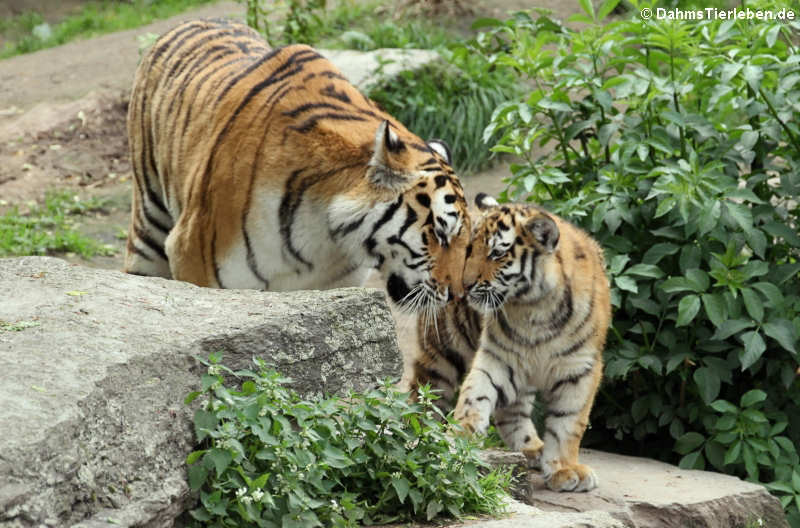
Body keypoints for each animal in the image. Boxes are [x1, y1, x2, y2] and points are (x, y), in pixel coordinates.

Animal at [124, 19, 468, 310]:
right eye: (439, 233)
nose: (457, 295)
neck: (324, 237)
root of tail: (189, 22)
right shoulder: (194, 262)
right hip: (149, 228)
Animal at [404, 193, 608, 490]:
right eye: (470, 249)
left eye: (497, 253)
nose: (463, 287)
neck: (536, 307)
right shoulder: (498, 357)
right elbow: (474, 396)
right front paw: (461, 439)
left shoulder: (580, 368)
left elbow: (568, 423)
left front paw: (564, 469)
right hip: (442, 352)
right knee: (425, 391)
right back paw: (415, 434)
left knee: (512, 412)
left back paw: (532, 449)